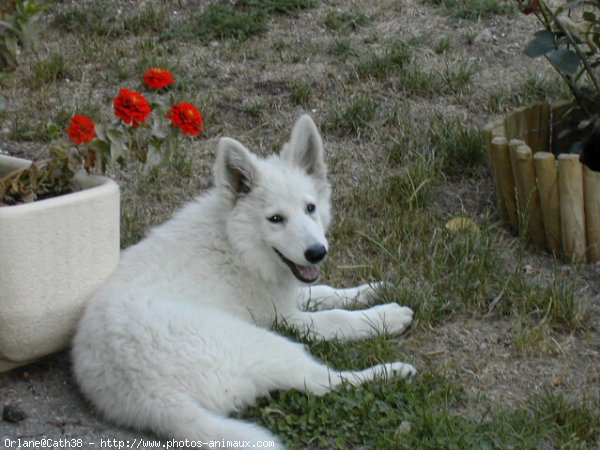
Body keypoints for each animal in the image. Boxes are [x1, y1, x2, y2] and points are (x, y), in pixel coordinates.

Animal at [72, 117, 414, 450]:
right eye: (275, 219)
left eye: (310, 208)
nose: (317, 253)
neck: (237, 243)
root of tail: (153, 399)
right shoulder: (283, 318)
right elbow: (336, 319)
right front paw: (386, 317)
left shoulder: (283, 292)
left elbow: (323, 292)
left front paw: (371, 290)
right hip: (268, 341)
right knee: (324, 383)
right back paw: (391, 372)